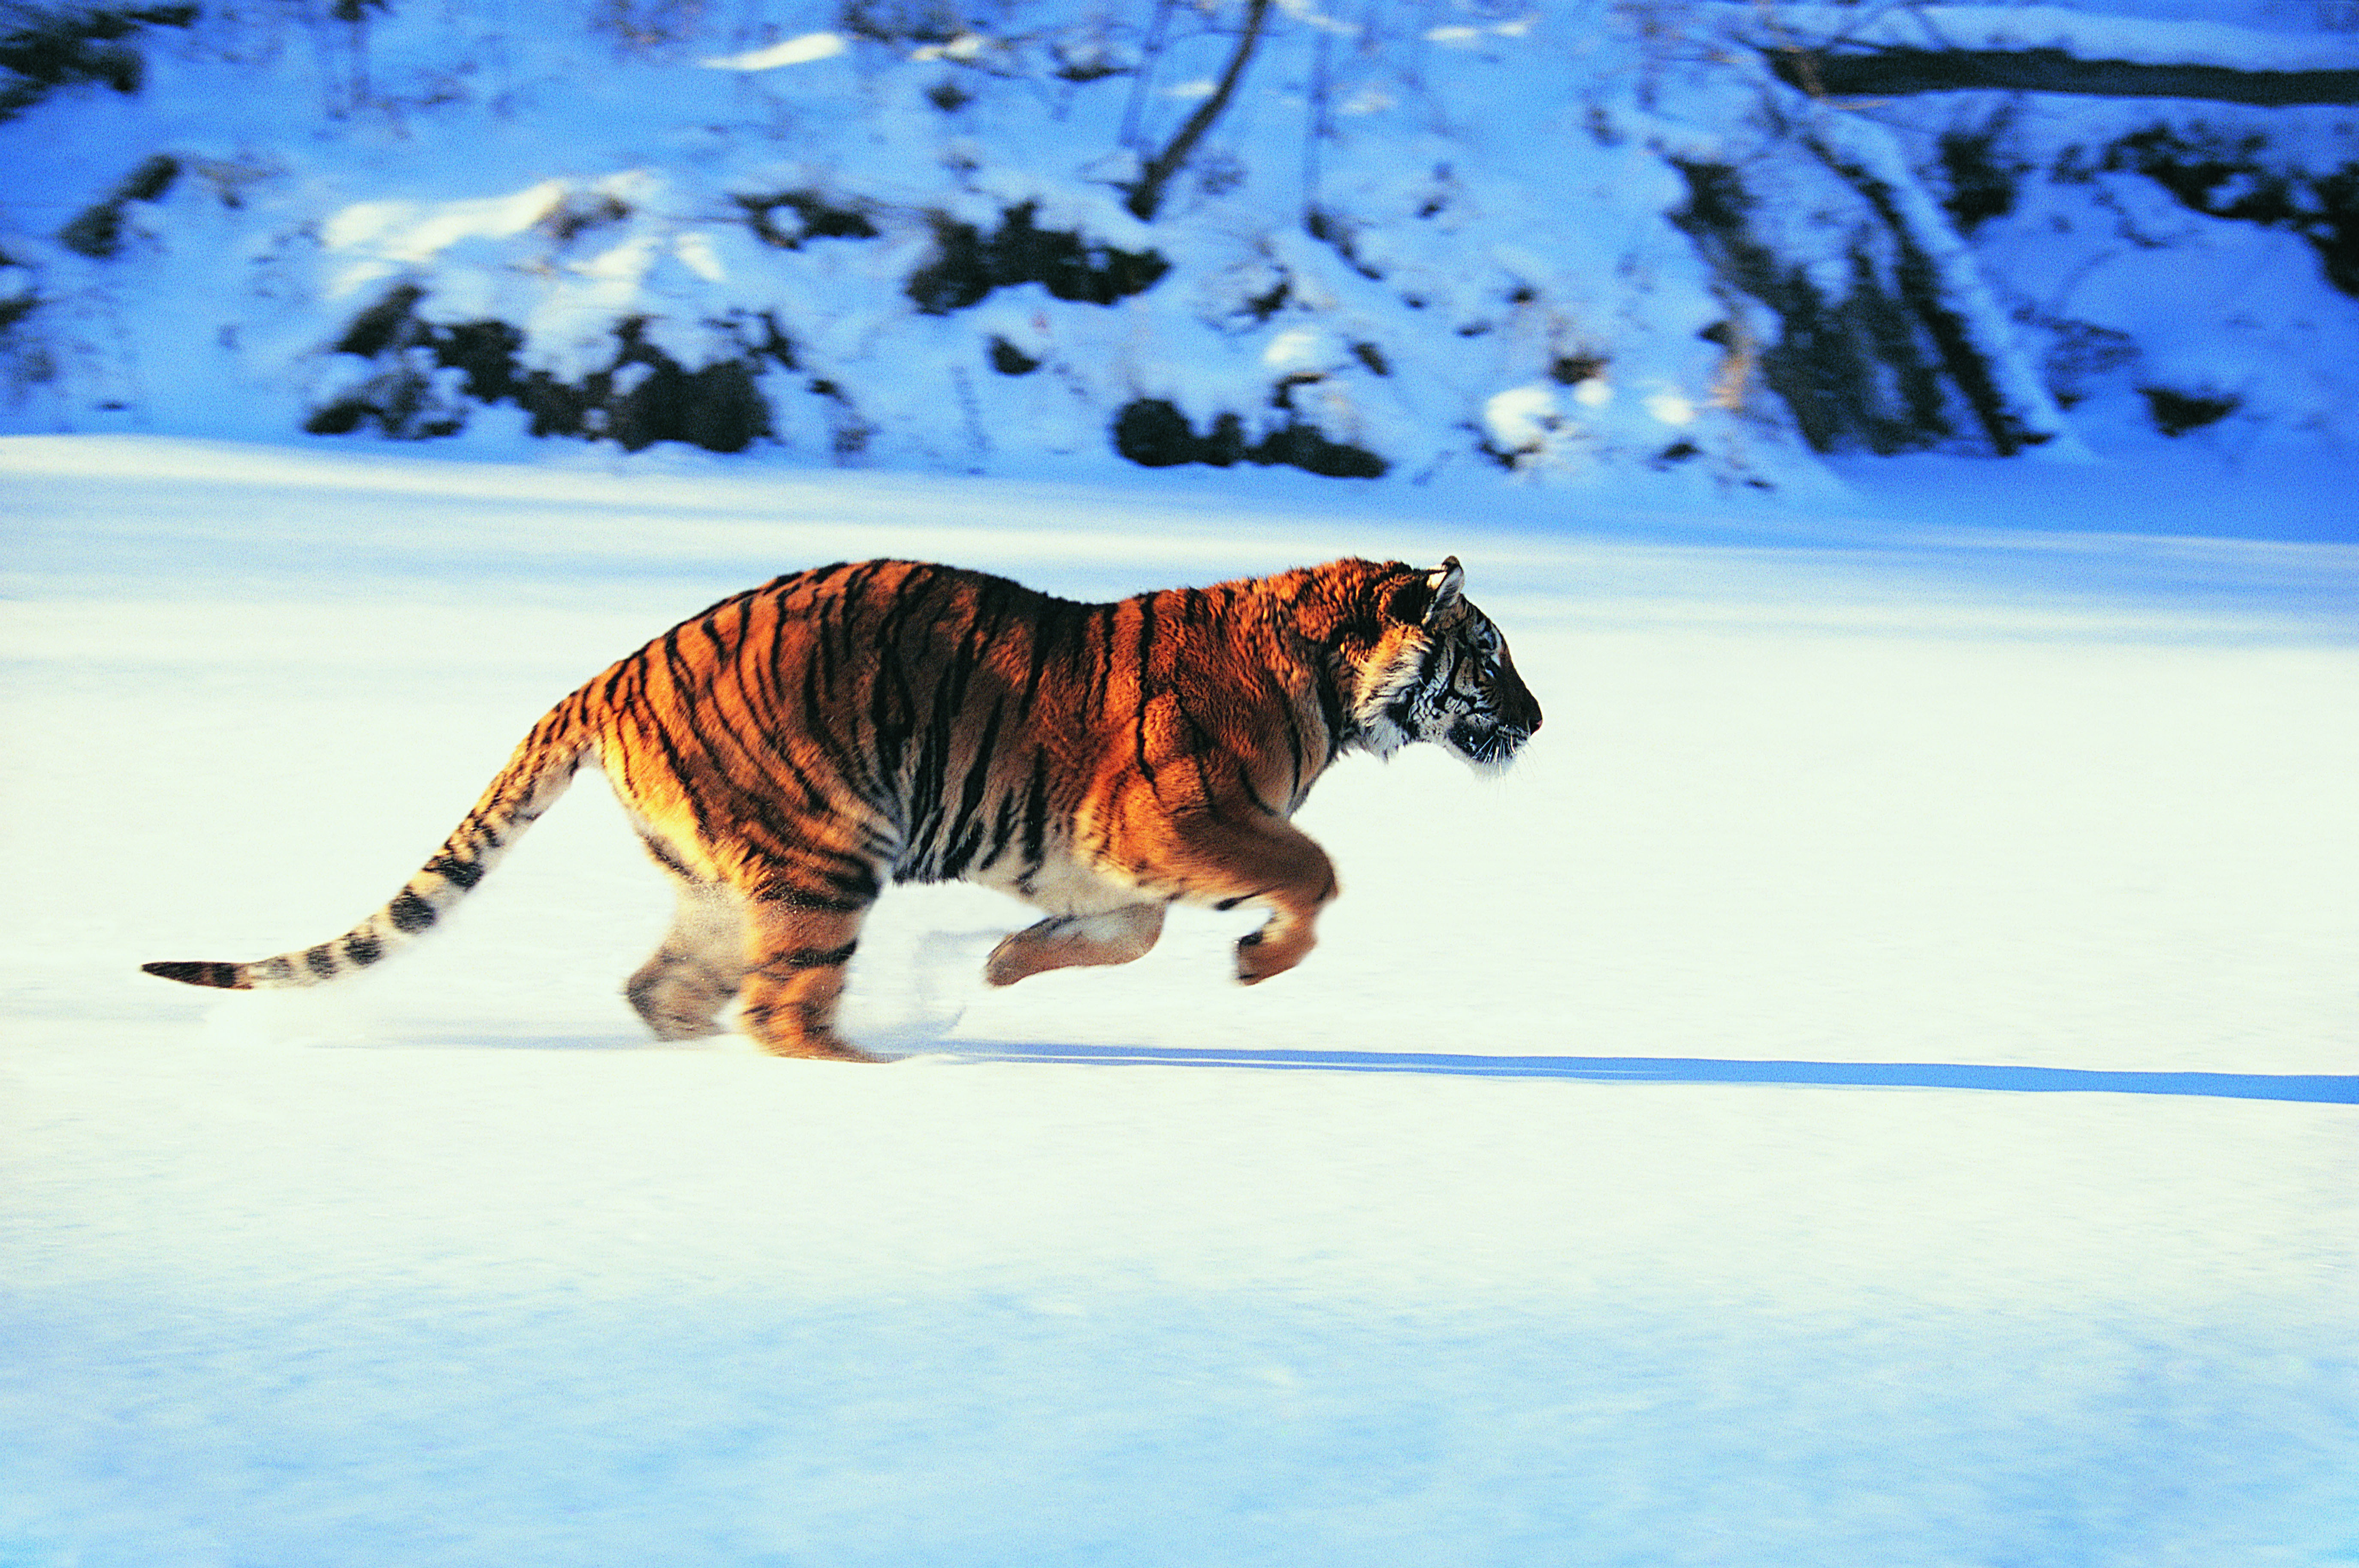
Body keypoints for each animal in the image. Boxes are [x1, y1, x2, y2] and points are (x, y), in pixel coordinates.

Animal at [147, 556, 1547, 1056]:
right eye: (1487, 654)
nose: (1539, 721)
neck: (1328, 681)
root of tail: (614, 672)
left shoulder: (1105, 859)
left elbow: (1128, 931)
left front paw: (1000, 964)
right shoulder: (1167, 819)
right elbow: (1315, 871)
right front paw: (1261, 962)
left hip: (722, 884)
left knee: (666, 990)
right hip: (825, 856)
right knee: (781, 1010)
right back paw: (873, 1075)